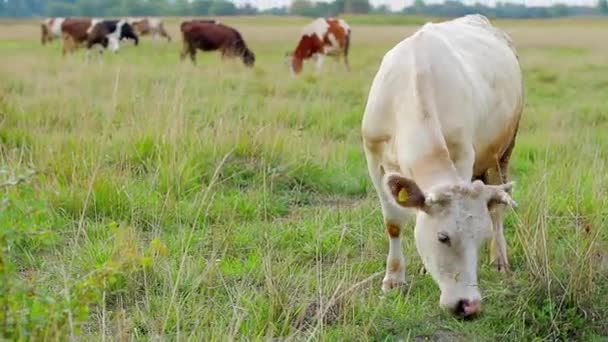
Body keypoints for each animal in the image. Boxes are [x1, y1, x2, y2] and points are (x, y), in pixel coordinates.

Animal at [360, 14, 524, 318]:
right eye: (443, 237)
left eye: (479, 238)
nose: (469, 305)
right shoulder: (374, 159)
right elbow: (393, 223)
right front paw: (393, 280)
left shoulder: (463, 156)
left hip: (504, 150)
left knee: (497, 208)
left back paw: (500, 258)